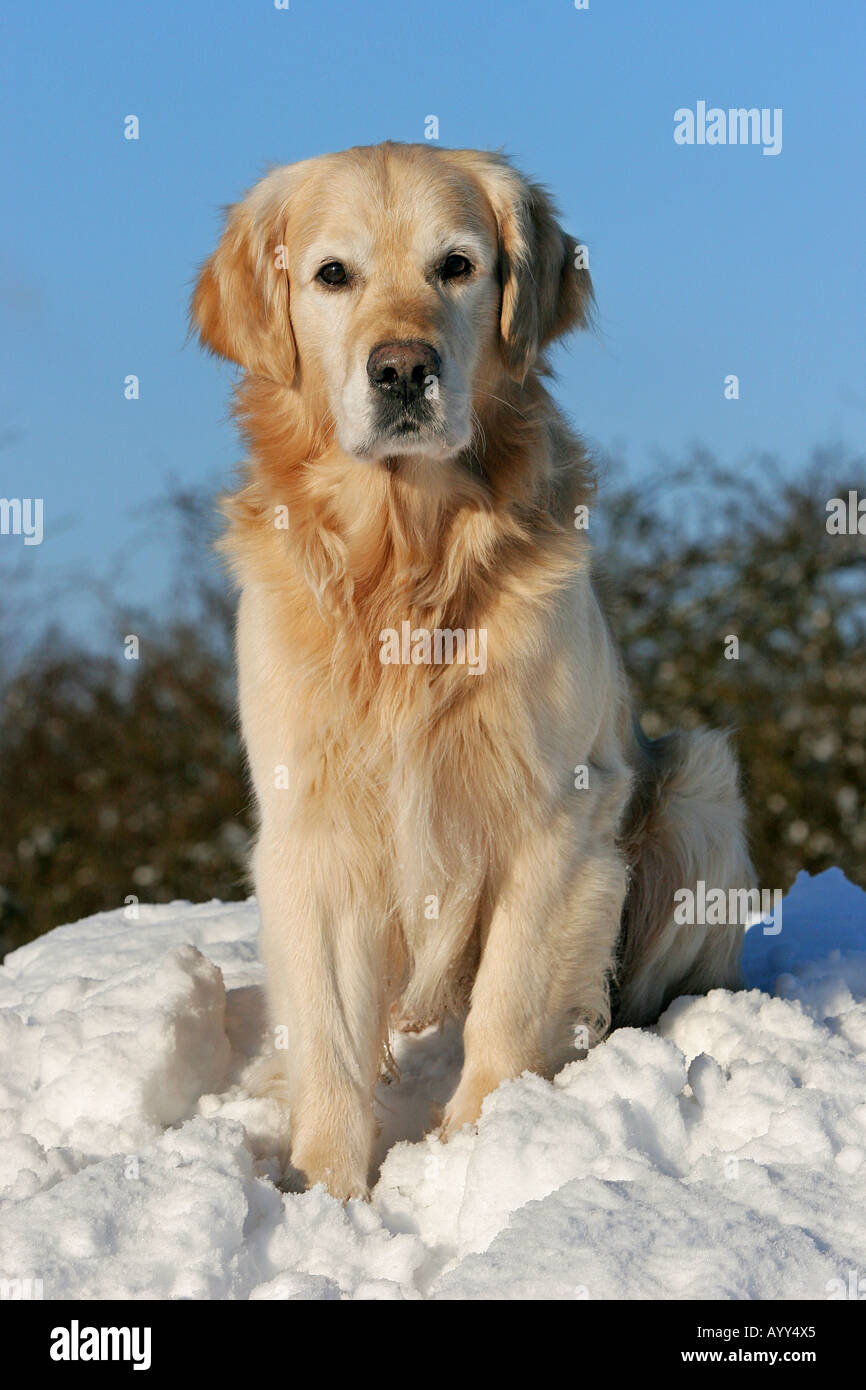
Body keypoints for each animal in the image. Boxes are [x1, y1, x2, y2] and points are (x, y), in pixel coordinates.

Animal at [193, 143, 756, 1206]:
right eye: (333, 275)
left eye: (457, 266)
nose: (404, 369)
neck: (407, 559)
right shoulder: (312, 828)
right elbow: (332, 1041)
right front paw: (326, 1193)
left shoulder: (560, 811)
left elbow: (510, 1002)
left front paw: (480, 1157)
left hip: (698, 789)